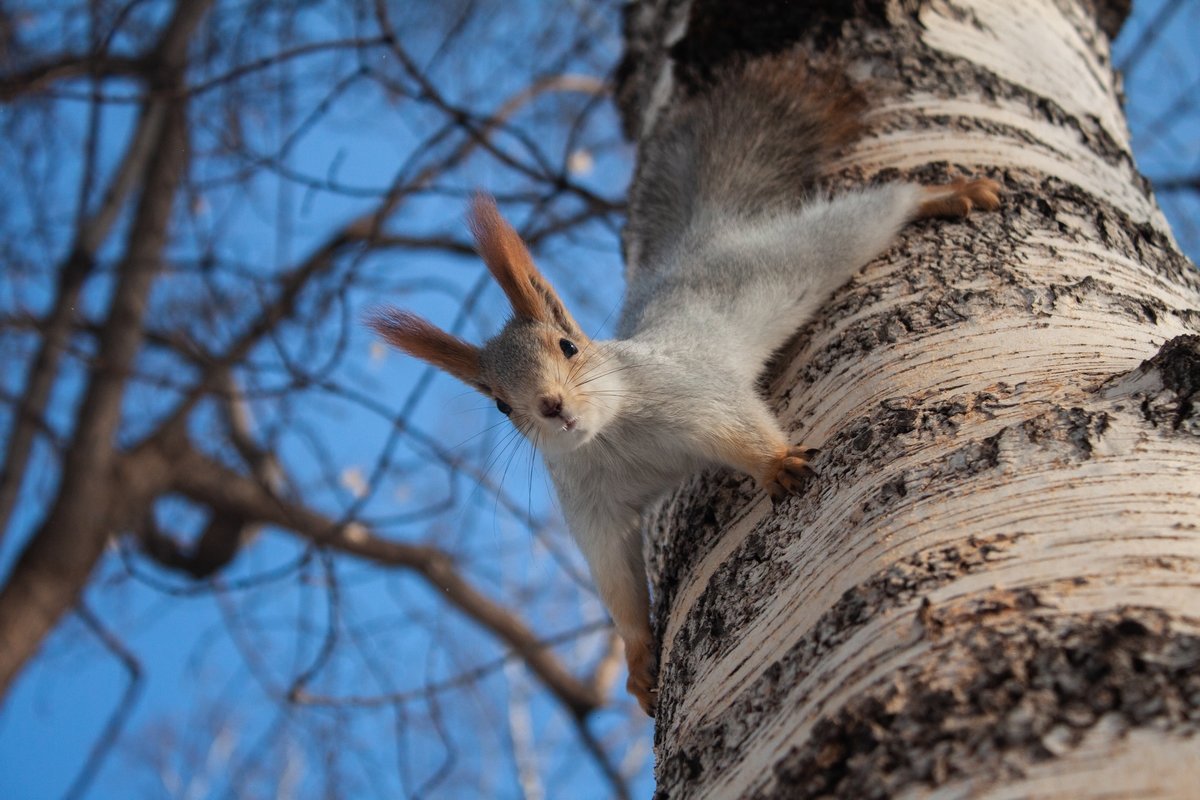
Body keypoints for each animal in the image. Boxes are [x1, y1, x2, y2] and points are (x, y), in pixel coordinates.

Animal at [367, 57, 1003, 719]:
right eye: (498, 403)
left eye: (568, 347)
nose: (550, 406)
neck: (610, 437)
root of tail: (702, 242)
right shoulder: (593, 510)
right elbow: (617, 581)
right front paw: (639, 659)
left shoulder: (695, 393)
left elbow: (740, 426)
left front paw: (776, 464)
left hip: (806, 252)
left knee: (873, 210)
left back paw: (948, 194)